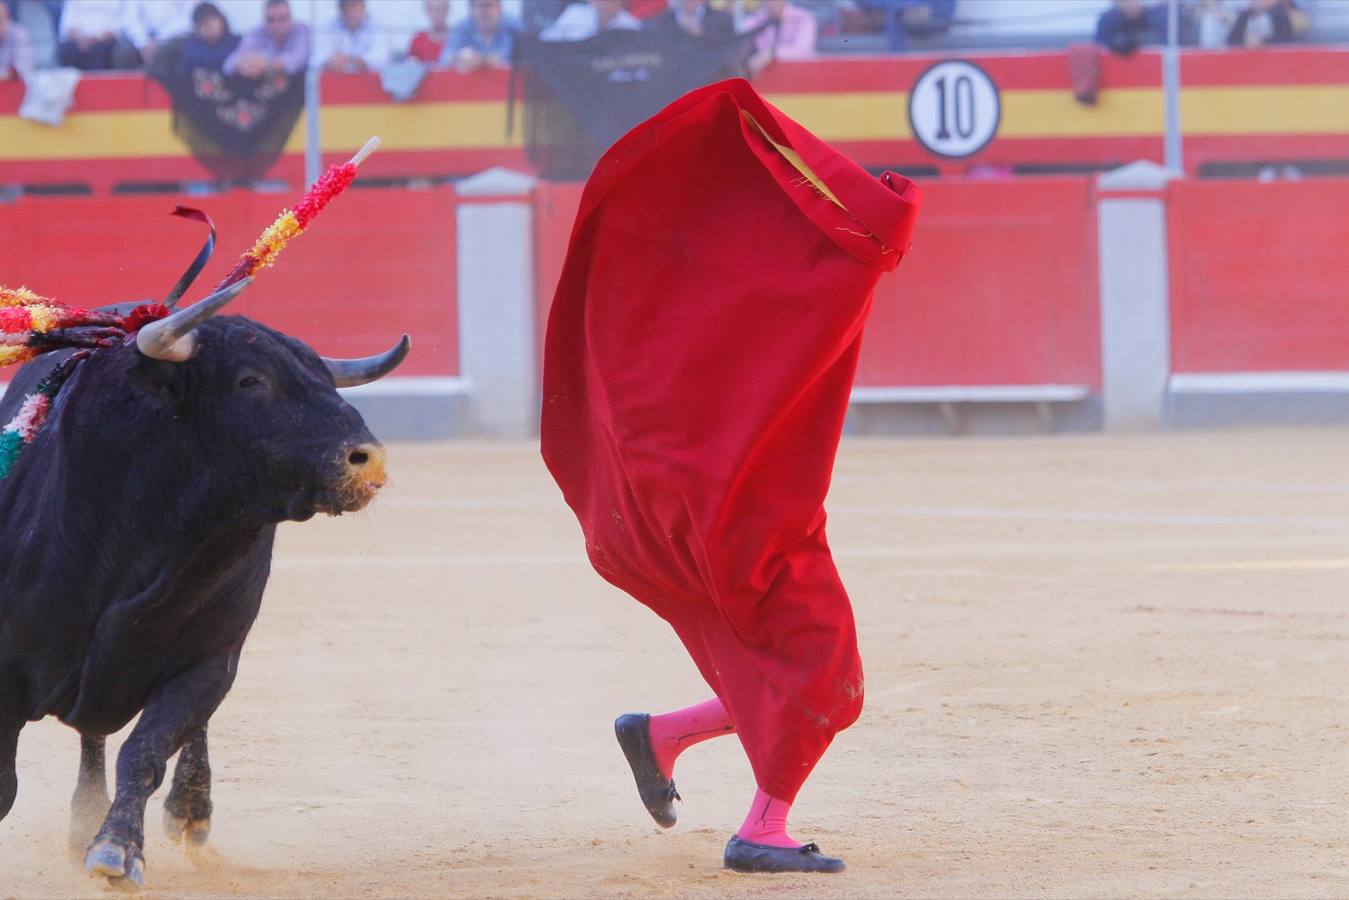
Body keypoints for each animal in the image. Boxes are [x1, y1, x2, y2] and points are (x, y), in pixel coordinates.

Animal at [0, 299, 404, 890]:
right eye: (250, 380)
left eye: (326, 379)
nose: (368, 460)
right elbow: (6, 782)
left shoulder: (207, 665)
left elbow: (144, 752)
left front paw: (116, 849)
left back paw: (175, 814)